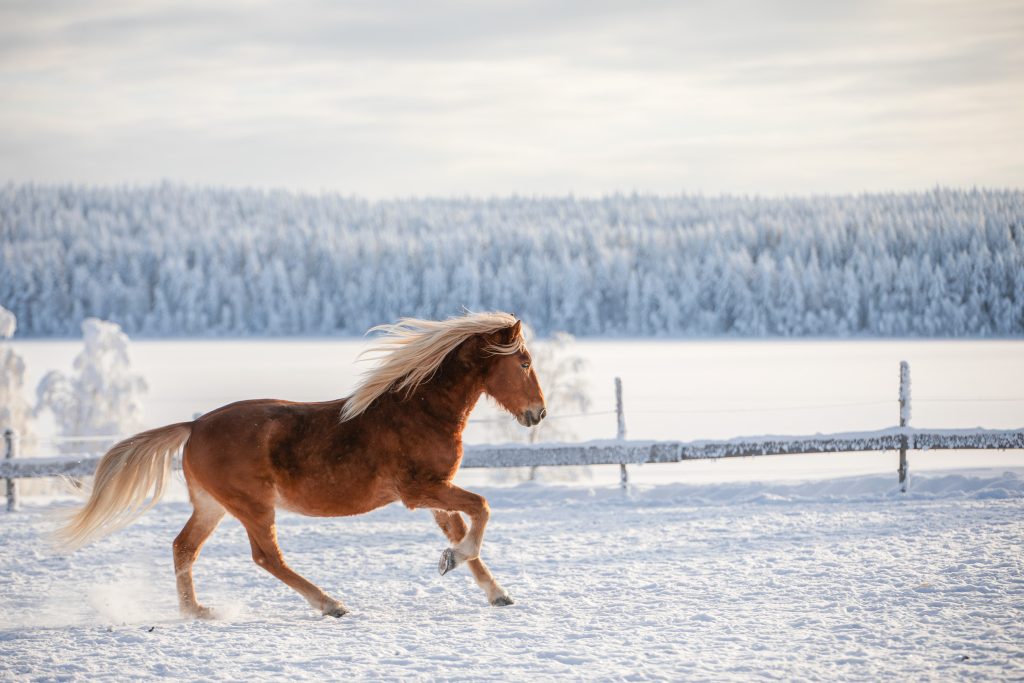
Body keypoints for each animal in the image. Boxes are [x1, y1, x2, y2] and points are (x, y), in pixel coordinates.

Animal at [55, 312, 546, 618]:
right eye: (523, 362)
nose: (538, 413)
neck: (420, 410)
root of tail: (193, 427)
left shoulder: (437, 492)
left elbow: (463, 528)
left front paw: (494, 591)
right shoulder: (419, 490)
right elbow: (481, 508)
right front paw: (452, 560)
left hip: (212, 505)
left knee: (183, 548)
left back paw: (196, 611)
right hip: (252, 505)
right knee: (265, 556)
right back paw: (330, 604)